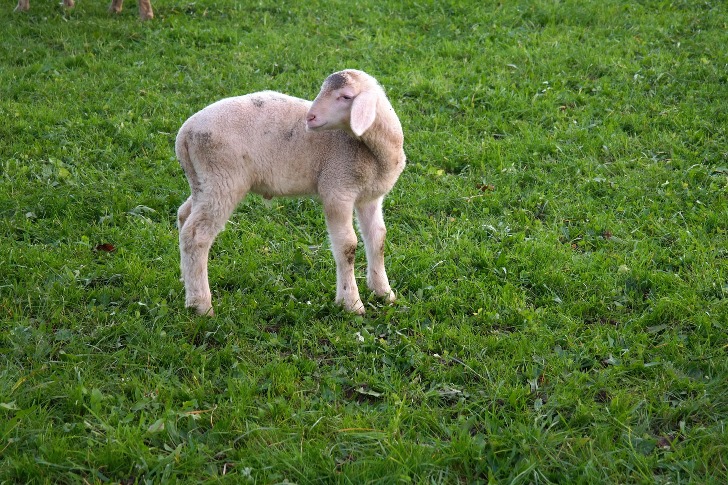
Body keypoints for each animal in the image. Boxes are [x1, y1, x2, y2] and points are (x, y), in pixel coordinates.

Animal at [174, 70, 406, 316]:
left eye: (346, 96)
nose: (310, 118)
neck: (374, 151)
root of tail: (185, 134)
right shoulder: (336, 189)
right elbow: (347, 246)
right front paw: (351, 303)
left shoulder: (370, 197)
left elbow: (378, 238)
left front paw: (384, 292)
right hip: (222, 179)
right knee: (196, 235)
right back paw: (201, 305)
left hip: (203, 181)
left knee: (184, 215)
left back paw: (186, 281)